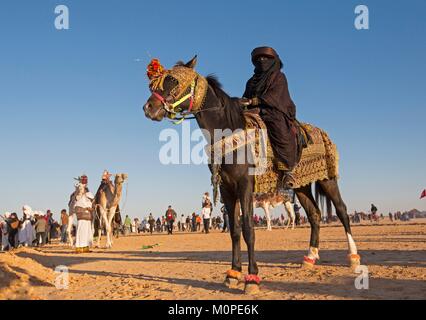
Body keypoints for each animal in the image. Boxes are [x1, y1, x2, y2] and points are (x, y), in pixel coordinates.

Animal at [143, 56, 360, 294]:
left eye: (173, 81)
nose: (148, 107)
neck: (228, 133)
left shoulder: (245, 185)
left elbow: (248, 229)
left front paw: (252, 278)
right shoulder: (227, 189)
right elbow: (235, 230)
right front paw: (233, 273)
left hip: (327, 179)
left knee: (342, 211)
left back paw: (353, 258)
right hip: (301, 185)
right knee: (314, 214)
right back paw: (310, 257)